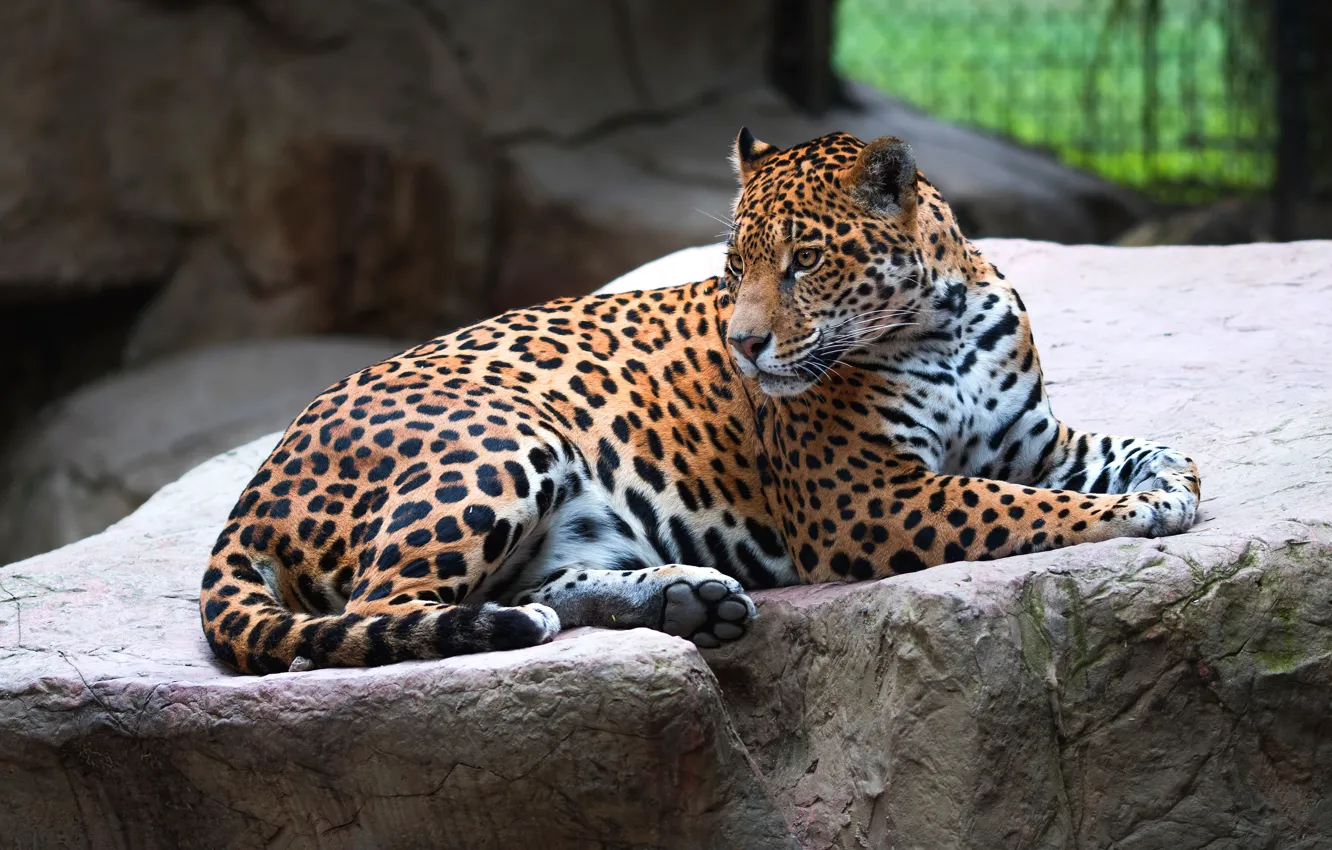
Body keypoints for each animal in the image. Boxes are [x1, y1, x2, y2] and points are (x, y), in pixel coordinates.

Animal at [200, 129, 1201, 674]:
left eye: (804, 261)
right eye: (733, 268)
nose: (744, 347)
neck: (937, 323)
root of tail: (254, 489)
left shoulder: (1029, 438)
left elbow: (1137, 450)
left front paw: (1168, 485)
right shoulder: (866, 497)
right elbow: (1011, 507)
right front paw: (1126, 517)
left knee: (534, 588)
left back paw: (687, 599)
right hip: (499, 442)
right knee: (374, 611)